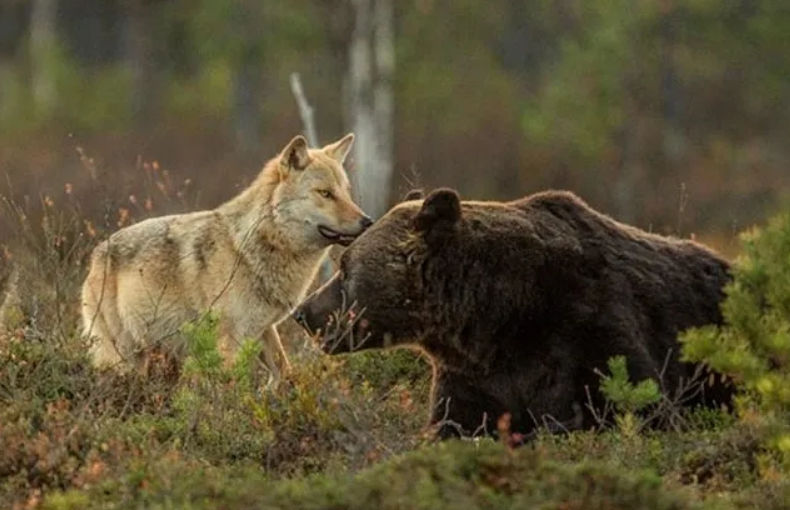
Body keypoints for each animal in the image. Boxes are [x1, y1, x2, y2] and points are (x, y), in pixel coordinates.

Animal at [294, 187, 740, 442]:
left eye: (346, 267)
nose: (303, 312)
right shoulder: (475, 376)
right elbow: (454, 426)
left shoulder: (588, 325)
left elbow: (637, 407)